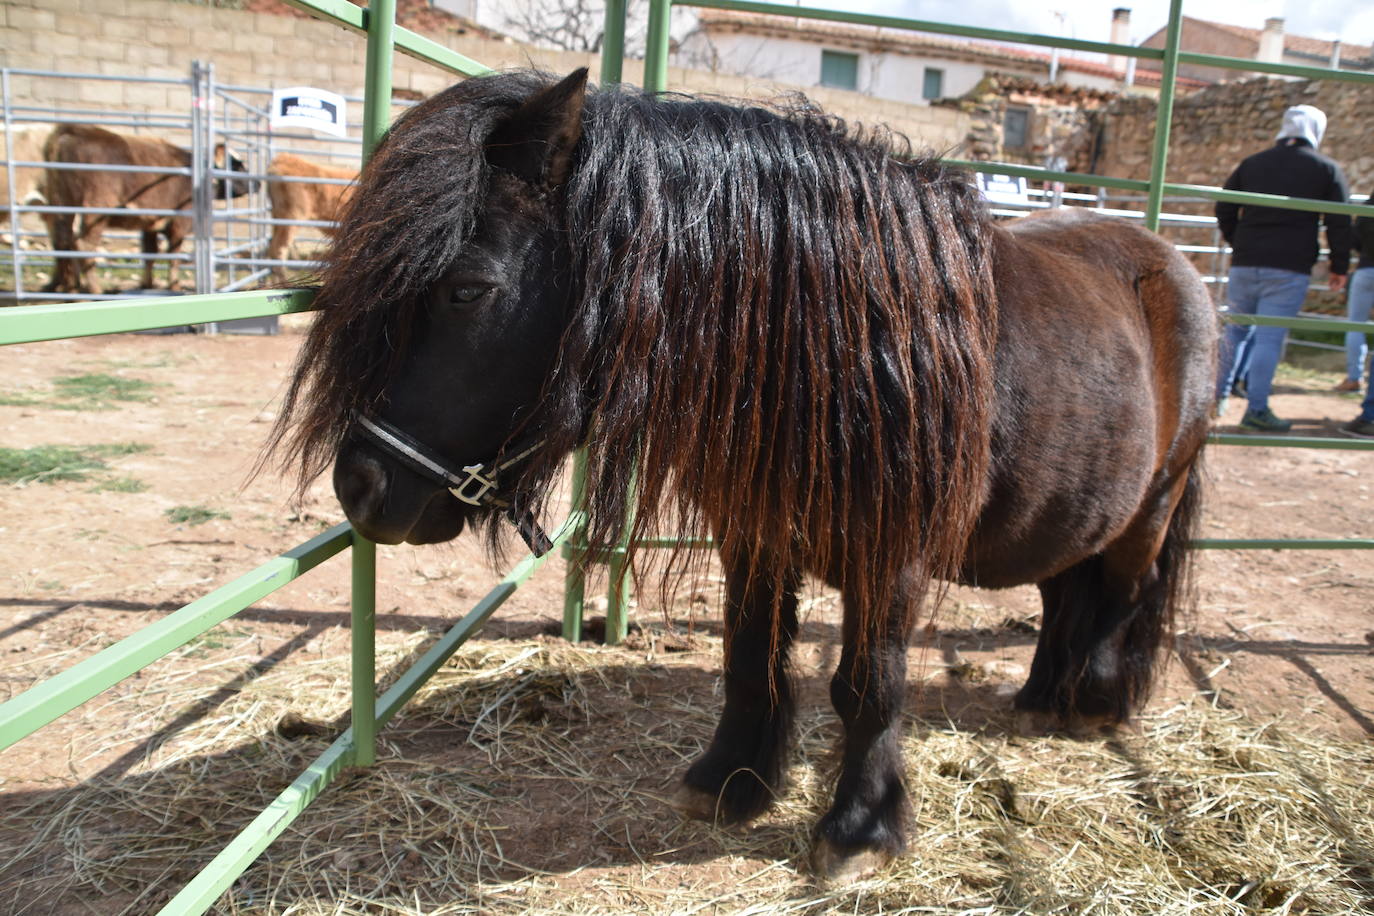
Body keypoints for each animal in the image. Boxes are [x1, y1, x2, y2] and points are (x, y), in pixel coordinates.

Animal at [267, 67, 1214, 878]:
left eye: (466, 289)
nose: (360, 487)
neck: (850, 341)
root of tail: (1174, 263)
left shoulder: (891, 558)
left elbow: (869, 687)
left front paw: (859, 829)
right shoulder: (754, 533)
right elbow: (749, 653)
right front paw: (731, 780)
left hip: (1151, 506)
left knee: (1117, 597)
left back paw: (1090, 707)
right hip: (1075, 506)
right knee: (1063, 594)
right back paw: (1044, 696)